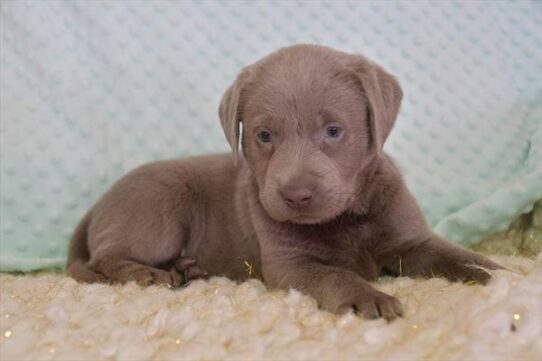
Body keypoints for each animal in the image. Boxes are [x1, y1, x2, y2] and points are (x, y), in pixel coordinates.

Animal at [68, 44, 506, 318]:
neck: (345, 218)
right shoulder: (290, 265)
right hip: (156, 213)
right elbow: (334, 274)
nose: (296, 195)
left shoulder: (412, 240)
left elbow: (458, 255)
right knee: (103, 258)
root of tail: (96, 206)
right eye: (264, 136)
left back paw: (187, 269)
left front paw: (504, 276)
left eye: (333, 130)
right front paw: (367, 297)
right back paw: (150, 275)